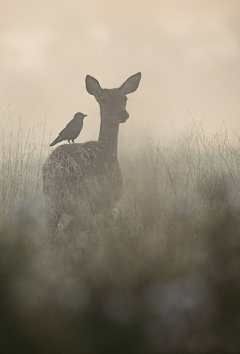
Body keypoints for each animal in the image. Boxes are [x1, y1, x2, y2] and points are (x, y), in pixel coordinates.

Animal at [42, 72, 142, 234]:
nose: (122, 113)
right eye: (104, 100)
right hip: (52, 201)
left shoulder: (110, 201)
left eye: (125, 98)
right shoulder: (82, 203)